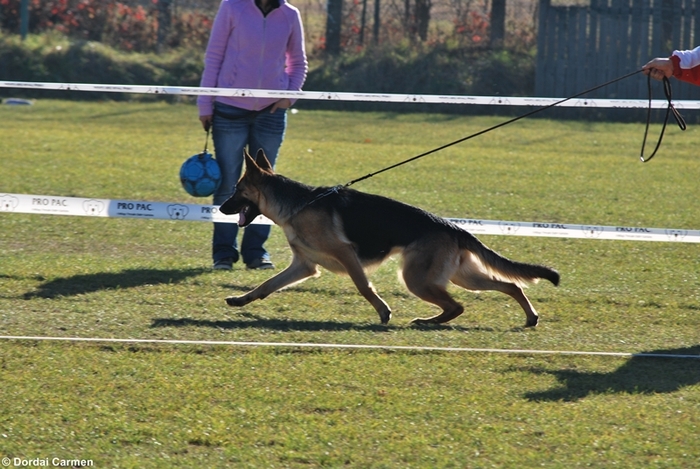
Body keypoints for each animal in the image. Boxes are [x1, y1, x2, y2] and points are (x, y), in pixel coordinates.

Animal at [221, 150, 560, 326]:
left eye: (237, 190)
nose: (221, 207)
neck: (298, 204)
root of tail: (455, 228)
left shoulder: (346, 255)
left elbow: (364, 286)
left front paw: (383, 312)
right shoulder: (304, 266)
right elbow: (267, 285)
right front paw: (241, 299)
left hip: (417, 278)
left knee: (458, 305)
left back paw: (428, 321)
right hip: (463, 277)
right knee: (510, 285)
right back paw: (530, 317)